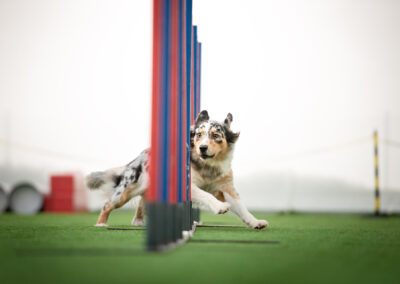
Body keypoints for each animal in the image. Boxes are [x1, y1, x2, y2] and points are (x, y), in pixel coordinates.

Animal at [86, 110, 270, 230]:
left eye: (215, 135)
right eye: (198, 135)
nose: (202, 148)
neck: (208, 165)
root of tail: (140, 155)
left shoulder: (226, 187)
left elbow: (241, 207)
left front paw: (256, 222)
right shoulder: (188, 186)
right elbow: (206, 195)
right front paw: (220, 207)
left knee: (142, 201)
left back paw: (137, 222)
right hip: (126, 190)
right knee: (108, 204)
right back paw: (101, 224)